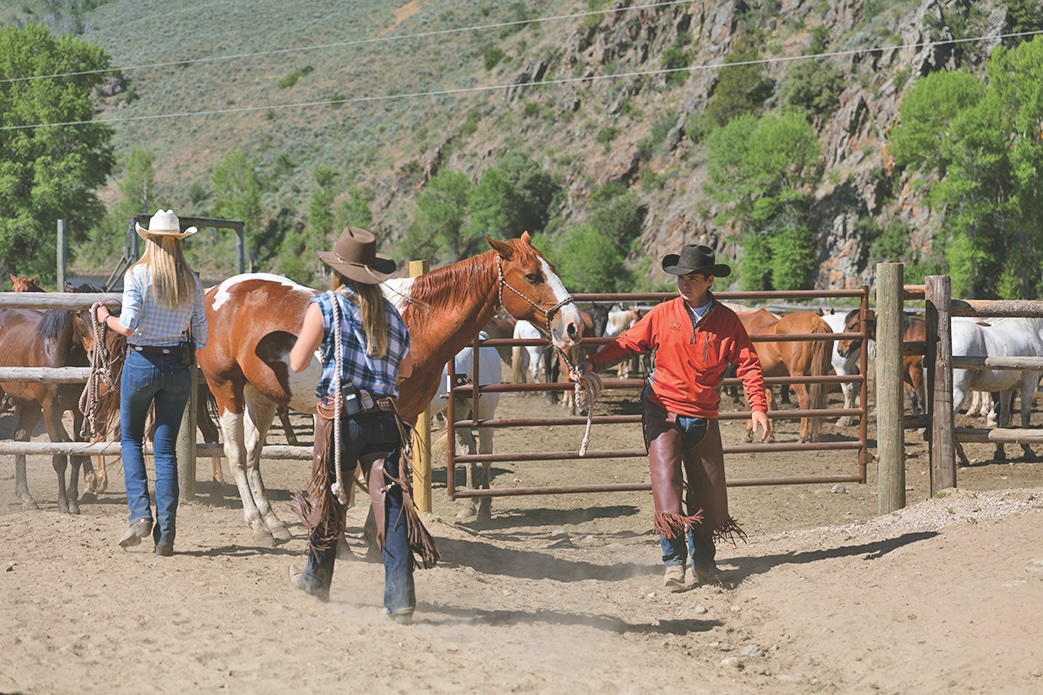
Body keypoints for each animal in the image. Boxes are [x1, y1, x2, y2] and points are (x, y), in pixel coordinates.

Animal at [431, 333, 504, 517]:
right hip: (457, 411)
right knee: (468, 449)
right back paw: (469, 505)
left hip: (485, 414)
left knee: (485, 453)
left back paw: (484, 508)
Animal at [738, 308, 834, 440]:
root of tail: (816, 321)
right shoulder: (768, 379)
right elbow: (769, 403)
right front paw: (770, 435)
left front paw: (747, 434)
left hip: (797, 376)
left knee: (804, 399)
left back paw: (803, 437)